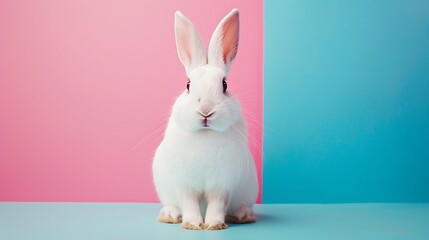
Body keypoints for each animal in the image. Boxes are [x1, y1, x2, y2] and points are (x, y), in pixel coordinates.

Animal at [152, 8, 256, 231]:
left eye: (225, 85)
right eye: (188, 85)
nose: (206, 111)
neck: (205, 134)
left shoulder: (222, 184)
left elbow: (217, 204)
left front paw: (214, 225)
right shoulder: (184, 184)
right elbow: (189, 203)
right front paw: (192, 224)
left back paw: (243, 216)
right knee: (173, 204)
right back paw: (170, 215)